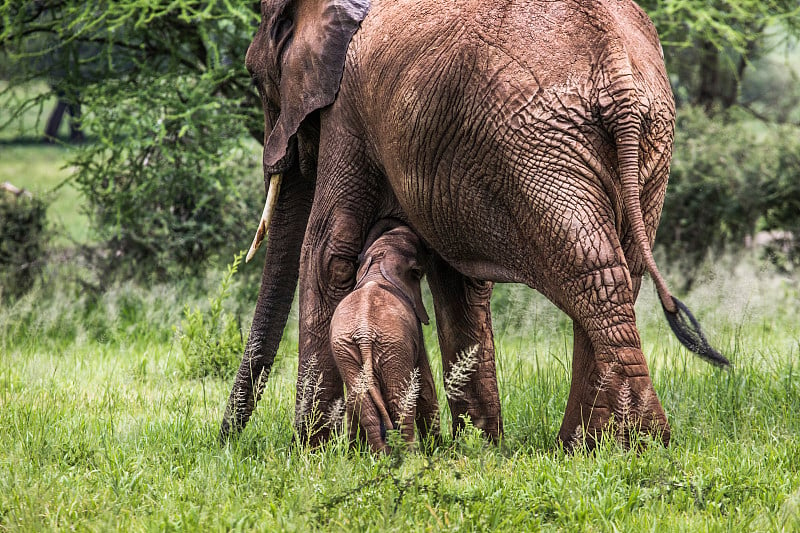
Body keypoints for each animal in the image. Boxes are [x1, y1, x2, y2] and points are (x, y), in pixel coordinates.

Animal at [330, 222, 440, 450]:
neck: (379, 261)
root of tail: (364, 334)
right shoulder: (415, 333)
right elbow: (424, 385)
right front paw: (438, 448)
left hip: (347, 351)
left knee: (362, 402)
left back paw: (380, 454)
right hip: (394, 347)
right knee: (401, 399)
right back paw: (408, 454)